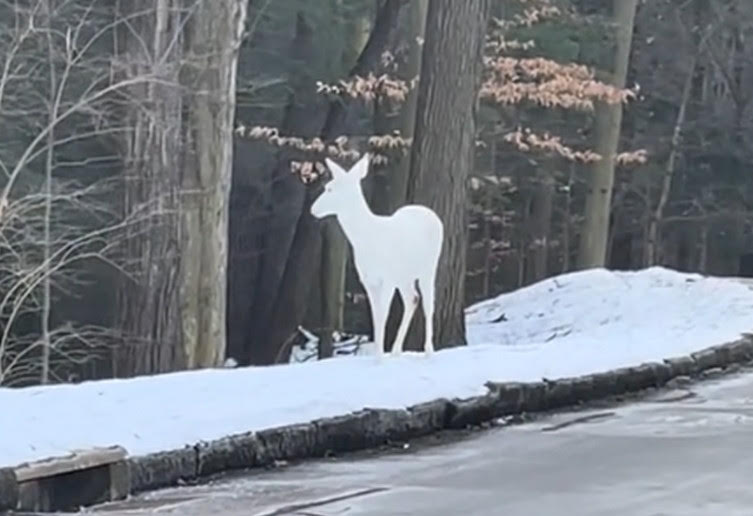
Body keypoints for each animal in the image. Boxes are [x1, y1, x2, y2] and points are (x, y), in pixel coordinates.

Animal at [310, 153, 443, 356]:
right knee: (412, 299)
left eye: (329, 188)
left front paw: (379, 357)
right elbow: (375, 318)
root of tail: (431, 214)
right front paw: (377, 354)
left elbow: (382, 315)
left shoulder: (387, 278)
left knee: (429, 304)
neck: (368, 238)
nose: (313, 209)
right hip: (403, 276)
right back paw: (396, 350)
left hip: (429, 267)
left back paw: (429, 350)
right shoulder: (369, 281)